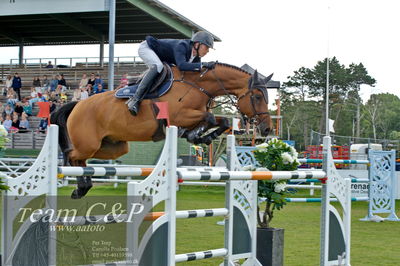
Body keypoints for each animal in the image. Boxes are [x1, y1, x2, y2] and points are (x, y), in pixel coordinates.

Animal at [50, 62, 272, 198]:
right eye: (257, 97)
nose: (267, 128)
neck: (198, 85)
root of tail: (77, 104)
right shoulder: (179, 116)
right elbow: (208, 118)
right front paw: (193, 135)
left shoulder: (197, 114)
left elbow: (222, 121)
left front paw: (202, 137)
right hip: (89, 143)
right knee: (73, 155)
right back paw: (80, 186)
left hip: (113, 146)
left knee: (83, 159)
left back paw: (83, 186)